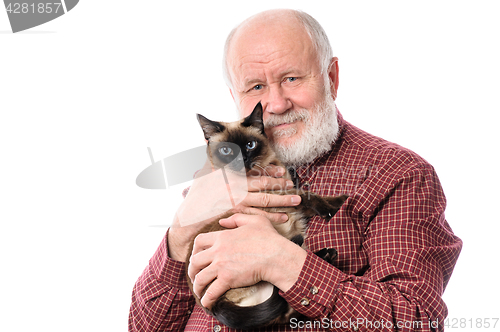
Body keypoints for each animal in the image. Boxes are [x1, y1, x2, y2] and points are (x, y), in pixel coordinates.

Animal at [185, 103, 348, 330]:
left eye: (250, 145)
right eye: (227, 150)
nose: (242, 160)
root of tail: (211, 305)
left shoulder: (287, 192)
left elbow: (304, 192)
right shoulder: (285, 196)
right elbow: (309, 196)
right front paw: (340, 202)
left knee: (289, 310)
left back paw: (327, 255)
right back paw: (325, 255)